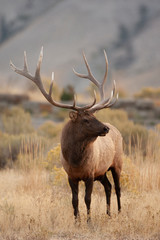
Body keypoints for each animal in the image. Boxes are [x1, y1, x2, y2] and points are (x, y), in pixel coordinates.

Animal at [10, 47, 122, 222]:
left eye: (94, 116)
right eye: (85, 119)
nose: (105, 129)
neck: (76, 161)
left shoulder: (90, 173)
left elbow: (87, 199)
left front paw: (89, 222)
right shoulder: (71, 175)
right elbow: (74, 200)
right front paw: (77, 221)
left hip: (117, 163)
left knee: (117, 187)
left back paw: (119, 212)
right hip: (102, 172)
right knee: (108, 186)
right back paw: (108, 214)